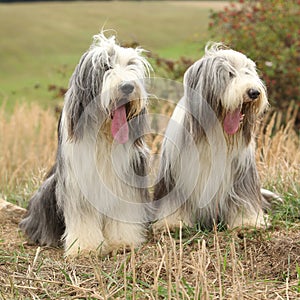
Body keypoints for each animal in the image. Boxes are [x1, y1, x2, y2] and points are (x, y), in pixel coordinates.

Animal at [20, 32, 152, 254]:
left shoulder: (127, 177)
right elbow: (83, 217)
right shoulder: (78, 181)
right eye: (105, 66)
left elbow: (122, 212)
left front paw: (122, 241)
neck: (104, 135)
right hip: (47, 190)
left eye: (131, 65)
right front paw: (85, 247)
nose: (128, 86)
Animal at [155, 44, 270, 232]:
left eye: (248, 72)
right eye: (229, 74)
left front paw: (247, 221)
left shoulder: (241, 175)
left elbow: (243, 199)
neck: (216, 131)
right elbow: (173, 201)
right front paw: (172, 222)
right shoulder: (176, 175)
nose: (254, 92)